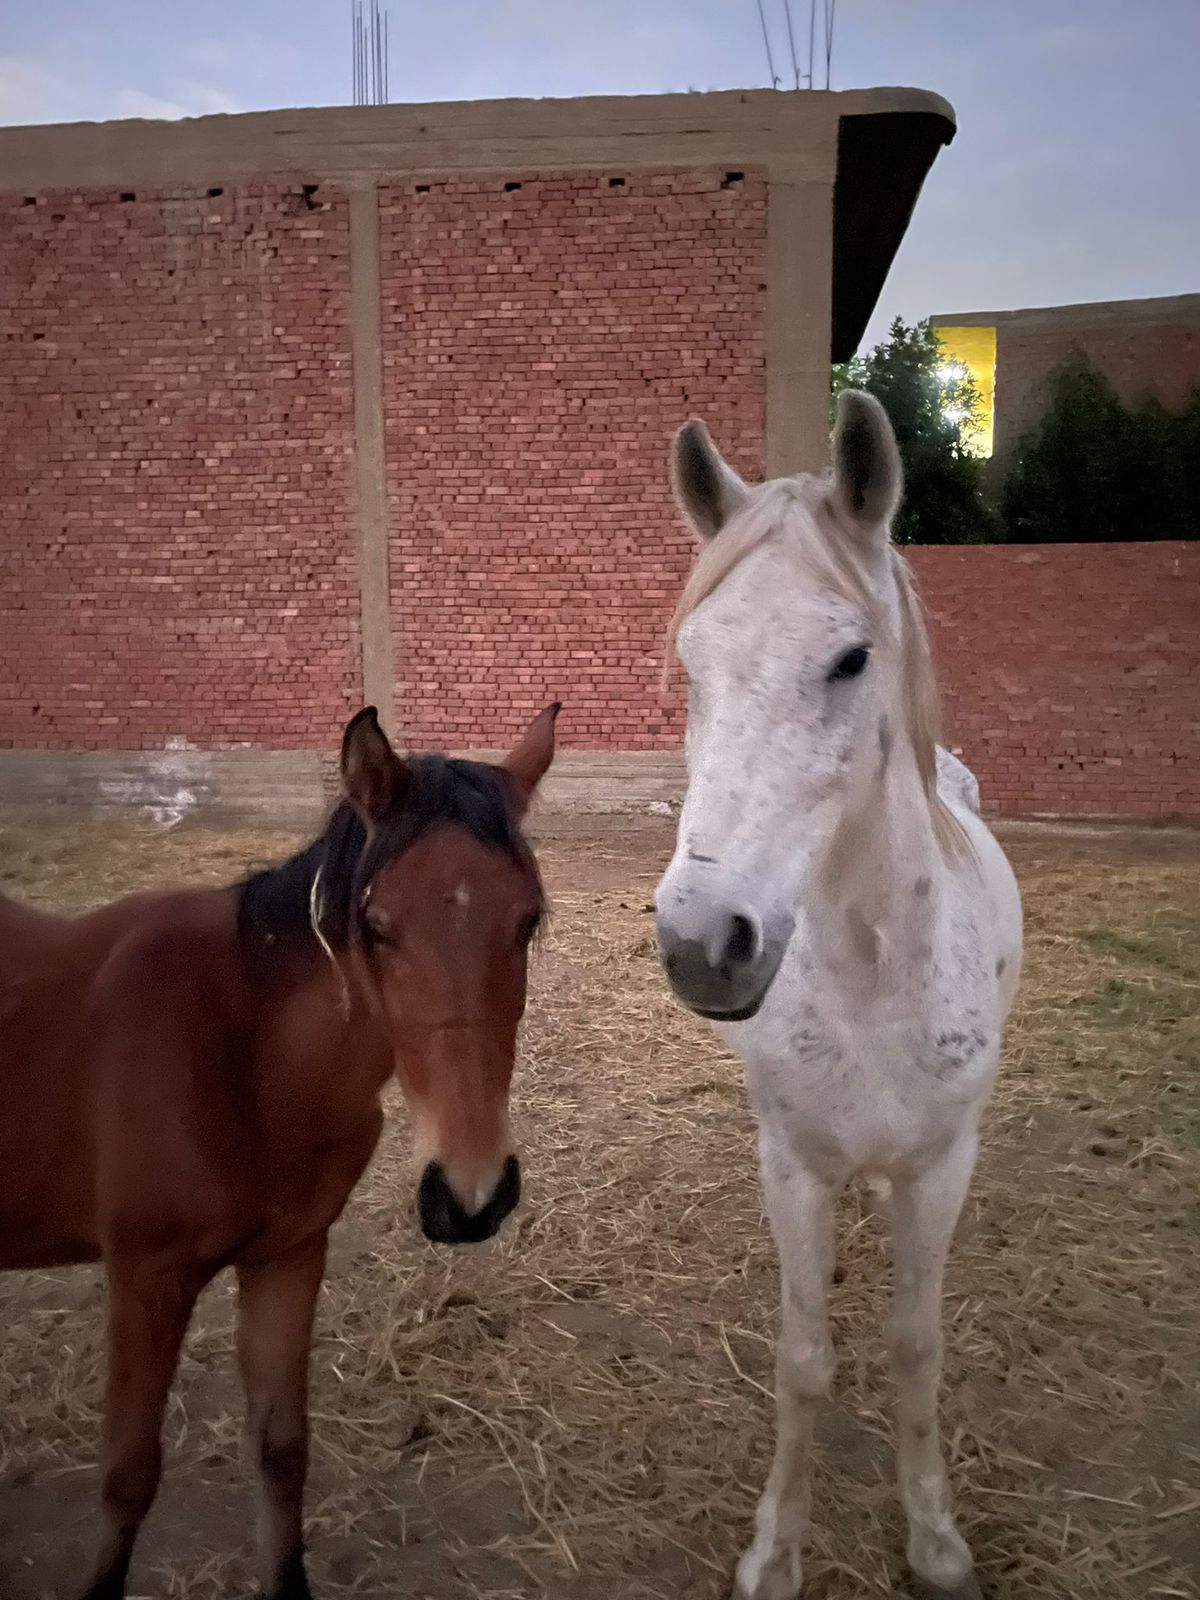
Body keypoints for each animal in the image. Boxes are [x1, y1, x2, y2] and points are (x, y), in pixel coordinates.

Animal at [0, 701, 559, 1600]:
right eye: (376, 926)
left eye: (528, 918)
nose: (471, 1194)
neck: (248, 1052)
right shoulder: (146, 1278)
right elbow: (128, 1475)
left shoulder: (288, 1258)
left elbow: (281, 1450)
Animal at [654, 391, 1022, 1600]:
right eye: (691, 667)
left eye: (852, 657)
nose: (699, 941)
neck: (873, 977)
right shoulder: (795, 1167)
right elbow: (805, 1360)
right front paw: (777, 1549)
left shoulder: (941, 1168)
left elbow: (916, 1347)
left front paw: (936, 1538)